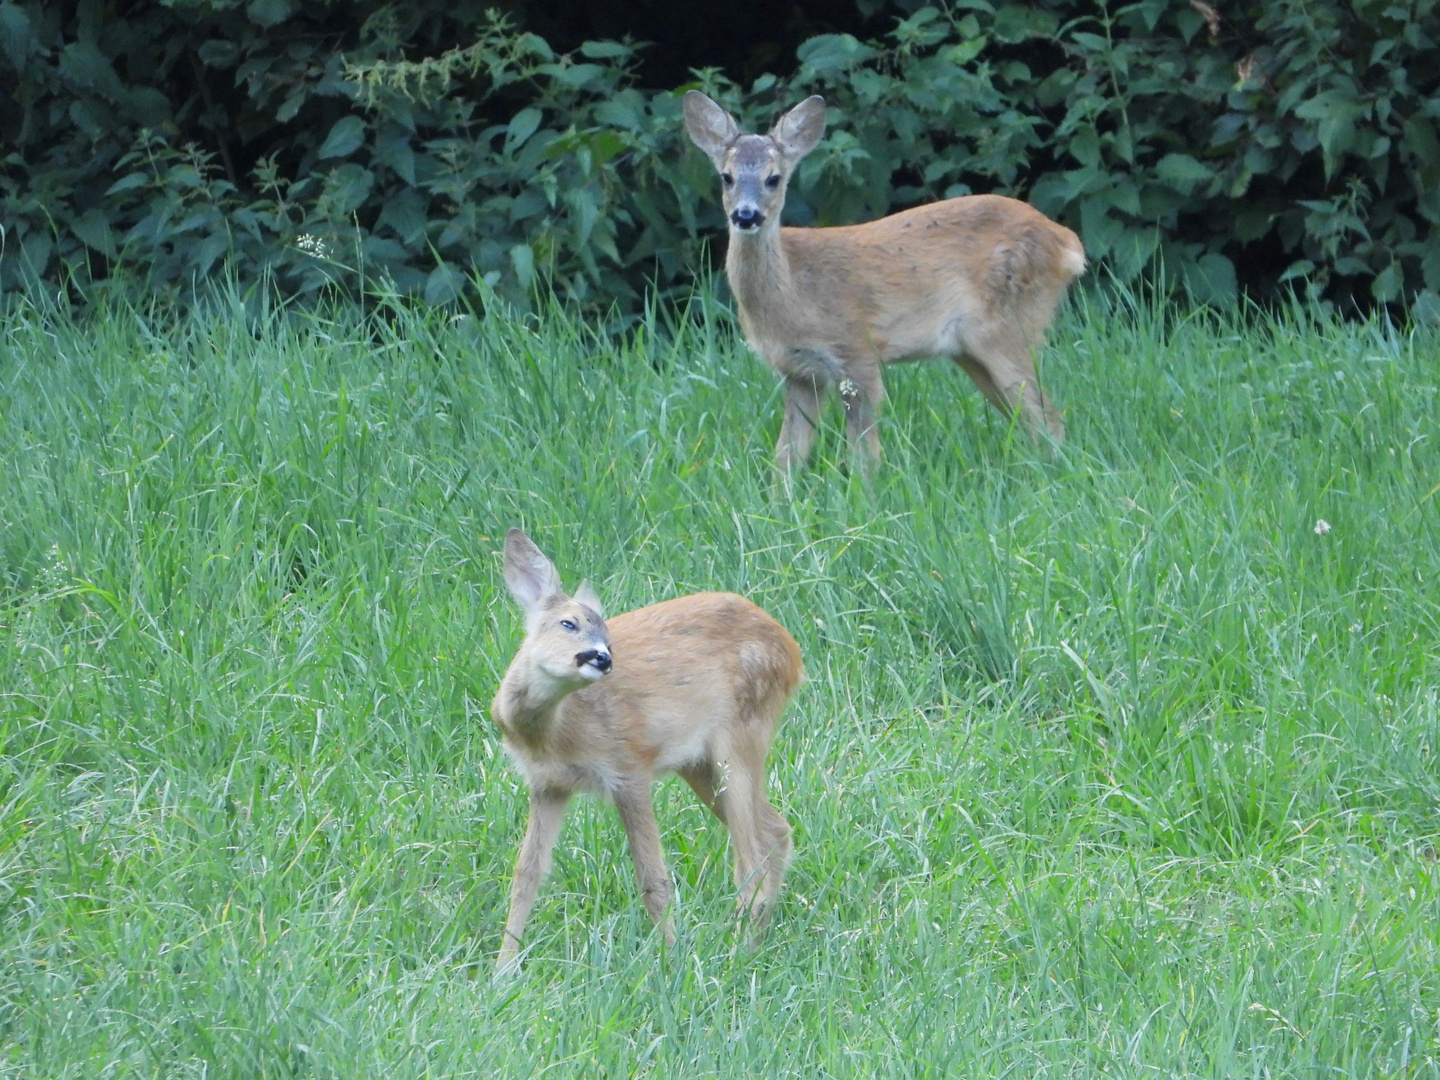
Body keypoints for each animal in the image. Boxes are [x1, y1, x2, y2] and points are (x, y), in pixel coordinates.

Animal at [483, 529, 800, 979]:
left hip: (741, 736)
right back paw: (752, 944)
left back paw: (736, 952)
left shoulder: (629, 766)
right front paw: (502, 972)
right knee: (775, 830)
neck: (555, 733)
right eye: (568, 623)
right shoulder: (548, 784)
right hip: (698, 764)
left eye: (606, 632)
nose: (602, 657)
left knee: (751, 853)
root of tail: (794, 653)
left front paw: (670, 961)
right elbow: (526, 874)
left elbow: (653, 878)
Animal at [682, 92, 1082, 478]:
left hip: (1009, 325)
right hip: (970, 350)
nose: (746, 215)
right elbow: (787, 456)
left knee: (1049, 417)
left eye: (773, 178)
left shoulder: (856, 351)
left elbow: (864, 455)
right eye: (727, 177)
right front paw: (781, 498)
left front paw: (864, 496)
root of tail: (1068, 244)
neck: (795, 292)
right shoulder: (799, 372)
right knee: (1032, 418)